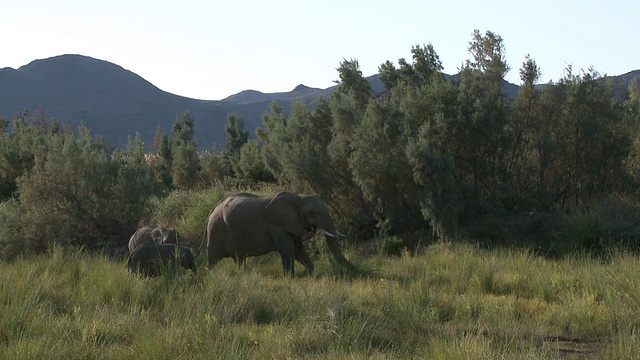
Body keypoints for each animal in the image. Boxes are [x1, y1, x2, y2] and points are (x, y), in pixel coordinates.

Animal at [204, 193, 350, 274]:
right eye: (311, 213)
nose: (354, 270)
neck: (298, 198)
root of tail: (213, 209)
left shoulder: (292, 224)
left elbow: (298, 249)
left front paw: (307, 273)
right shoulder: (278, 226)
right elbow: (288, 249)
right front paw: (290, 277)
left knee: (239, 258)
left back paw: (242, 274)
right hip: (216, 229)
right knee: (213, 259)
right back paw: (213, 277)